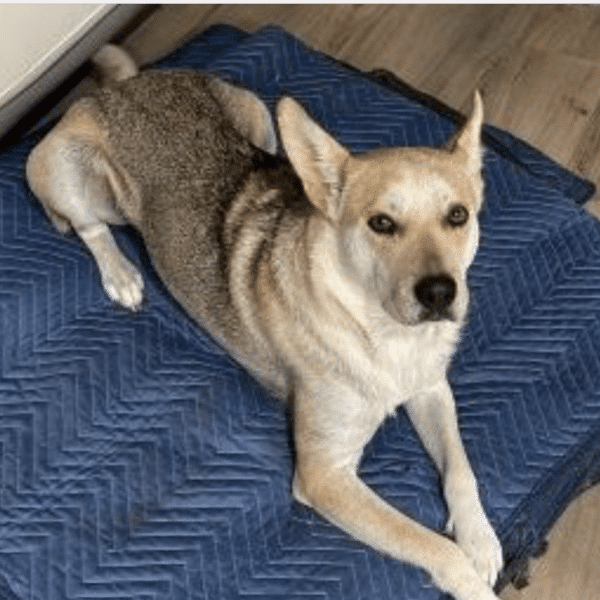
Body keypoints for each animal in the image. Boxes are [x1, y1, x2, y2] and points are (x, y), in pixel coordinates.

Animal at [28, 44, 504, 596]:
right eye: (381, 223)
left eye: (458, 216)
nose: (440, 293)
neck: (379, 331)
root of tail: (125, 84)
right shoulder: (325, 475)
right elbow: (430, 545)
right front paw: (470, 578)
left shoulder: (430, 388)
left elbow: (461, 470)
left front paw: (481, 539)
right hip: (66, 173)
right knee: (89, 226)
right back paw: (121, 274)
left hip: (260, 118)